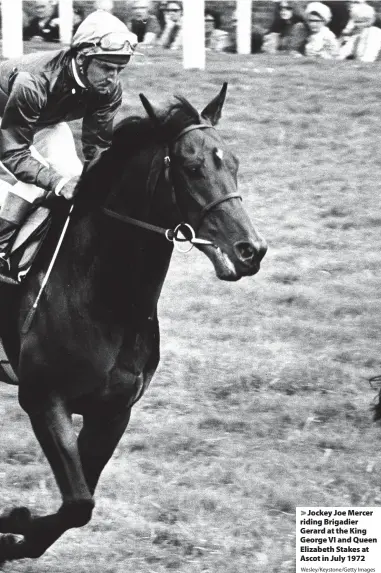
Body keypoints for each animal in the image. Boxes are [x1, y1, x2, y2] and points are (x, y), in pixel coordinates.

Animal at [0, 82, 266, 560]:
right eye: (192, 167)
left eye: (234, 163)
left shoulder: (113, 411)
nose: (251, 250)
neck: (101, 294)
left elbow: (78, 504)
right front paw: (14, 523)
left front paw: (16, 530)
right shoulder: (42, 397)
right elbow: (78, 500)